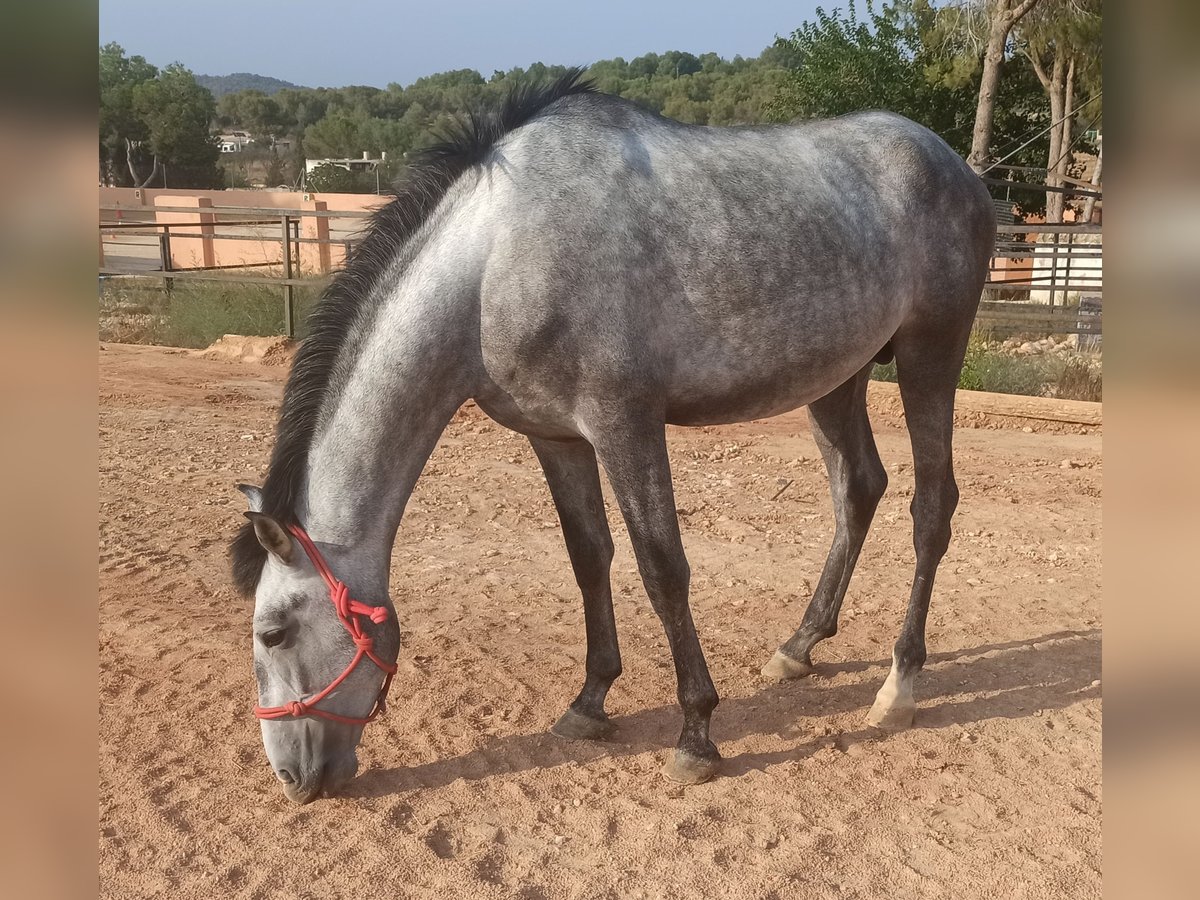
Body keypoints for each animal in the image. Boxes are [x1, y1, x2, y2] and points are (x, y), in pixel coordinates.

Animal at [231, 70, 993, 801]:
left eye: (273, 632)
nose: (291, 779)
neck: (495, 262)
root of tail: (956, 167)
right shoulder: (556, 437)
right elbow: (589, 557)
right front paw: (590, 701)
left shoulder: (625, 423)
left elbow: (662, 568)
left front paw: (696, 735)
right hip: (838, 378)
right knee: (858, 490)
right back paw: (799, 646)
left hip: (931, 353)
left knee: (931, 509)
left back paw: (898, 688)